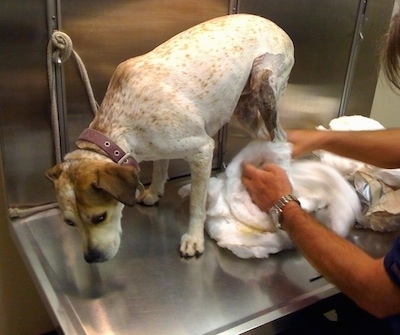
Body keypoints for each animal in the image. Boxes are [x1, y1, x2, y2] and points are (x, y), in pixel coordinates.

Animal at [45, 14, 294, 264]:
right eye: (70, 222)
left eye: (99, 217)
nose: (91, 257)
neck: (118, 128)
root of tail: (274, 25)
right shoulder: (157, 145)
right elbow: (159, 168)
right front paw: (154, 192)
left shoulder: (203, 150)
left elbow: (196, 204)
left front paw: (194, 240)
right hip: (244, 109)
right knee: (263, 137)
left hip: (264, 85)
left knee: (280, 138)